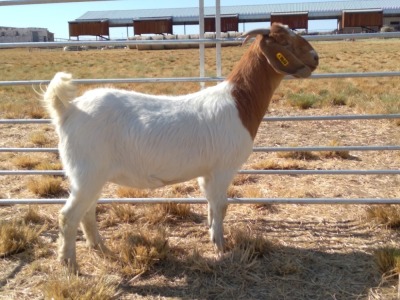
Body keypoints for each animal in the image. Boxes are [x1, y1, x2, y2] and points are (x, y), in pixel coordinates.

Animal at [43, 23, 318, 272]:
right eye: (285, 42)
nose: (316, 58)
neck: (240, 102)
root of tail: (68, 110)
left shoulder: (207, 173)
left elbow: (211, 204)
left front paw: (212, 236)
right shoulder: (223, 169)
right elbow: (222, 205)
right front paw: (221, 247)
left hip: (92, 176)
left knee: (87, 213)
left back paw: (101, 248)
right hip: (87, 171)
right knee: (68, 216)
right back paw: (70, 265)